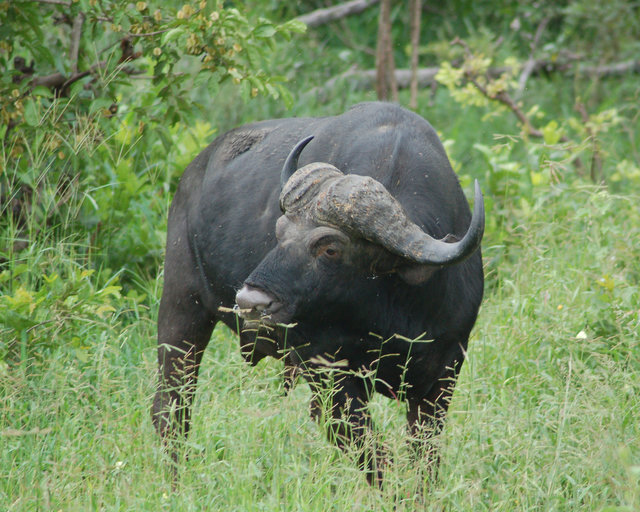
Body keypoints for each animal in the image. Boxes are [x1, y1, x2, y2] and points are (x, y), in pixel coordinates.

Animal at [154, 100, 484, 484]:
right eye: (280, 231)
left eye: (330, 248)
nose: (251, 302)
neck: (396, 314)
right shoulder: (329, 381)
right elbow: (376, 459)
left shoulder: (442, 377)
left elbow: (424, 460)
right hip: (181, 310)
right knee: (172, 407)